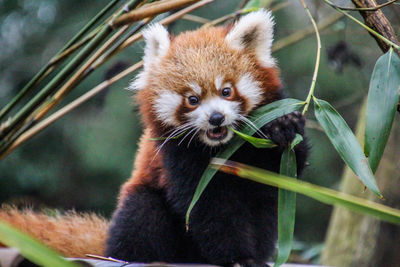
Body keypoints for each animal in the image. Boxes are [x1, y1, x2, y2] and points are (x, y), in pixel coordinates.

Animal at [0, 9, 308, 266]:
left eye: (226, 91)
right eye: (192, 100)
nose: (216, 118)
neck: (222, 147)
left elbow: (282, 173)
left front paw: (284, 127)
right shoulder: (178, 156)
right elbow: (207, 206)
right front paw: (237, 257)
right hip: (139, 204)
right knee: (142, 215)